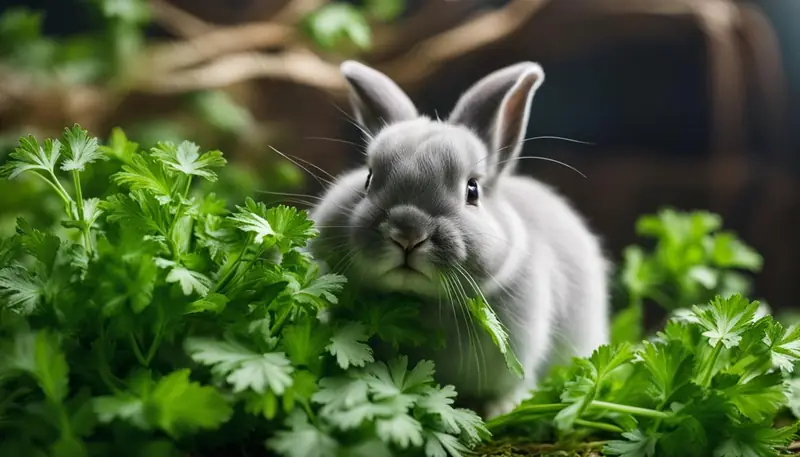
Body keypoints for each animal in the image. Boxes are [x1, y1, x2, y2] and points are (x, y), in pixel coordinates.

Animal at [307, 60, 610, 419]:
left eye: (472, 191)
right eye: (368, 179)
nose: (408, 234)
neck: (421, 304)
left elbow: (511, 388)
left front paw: (499, 410)